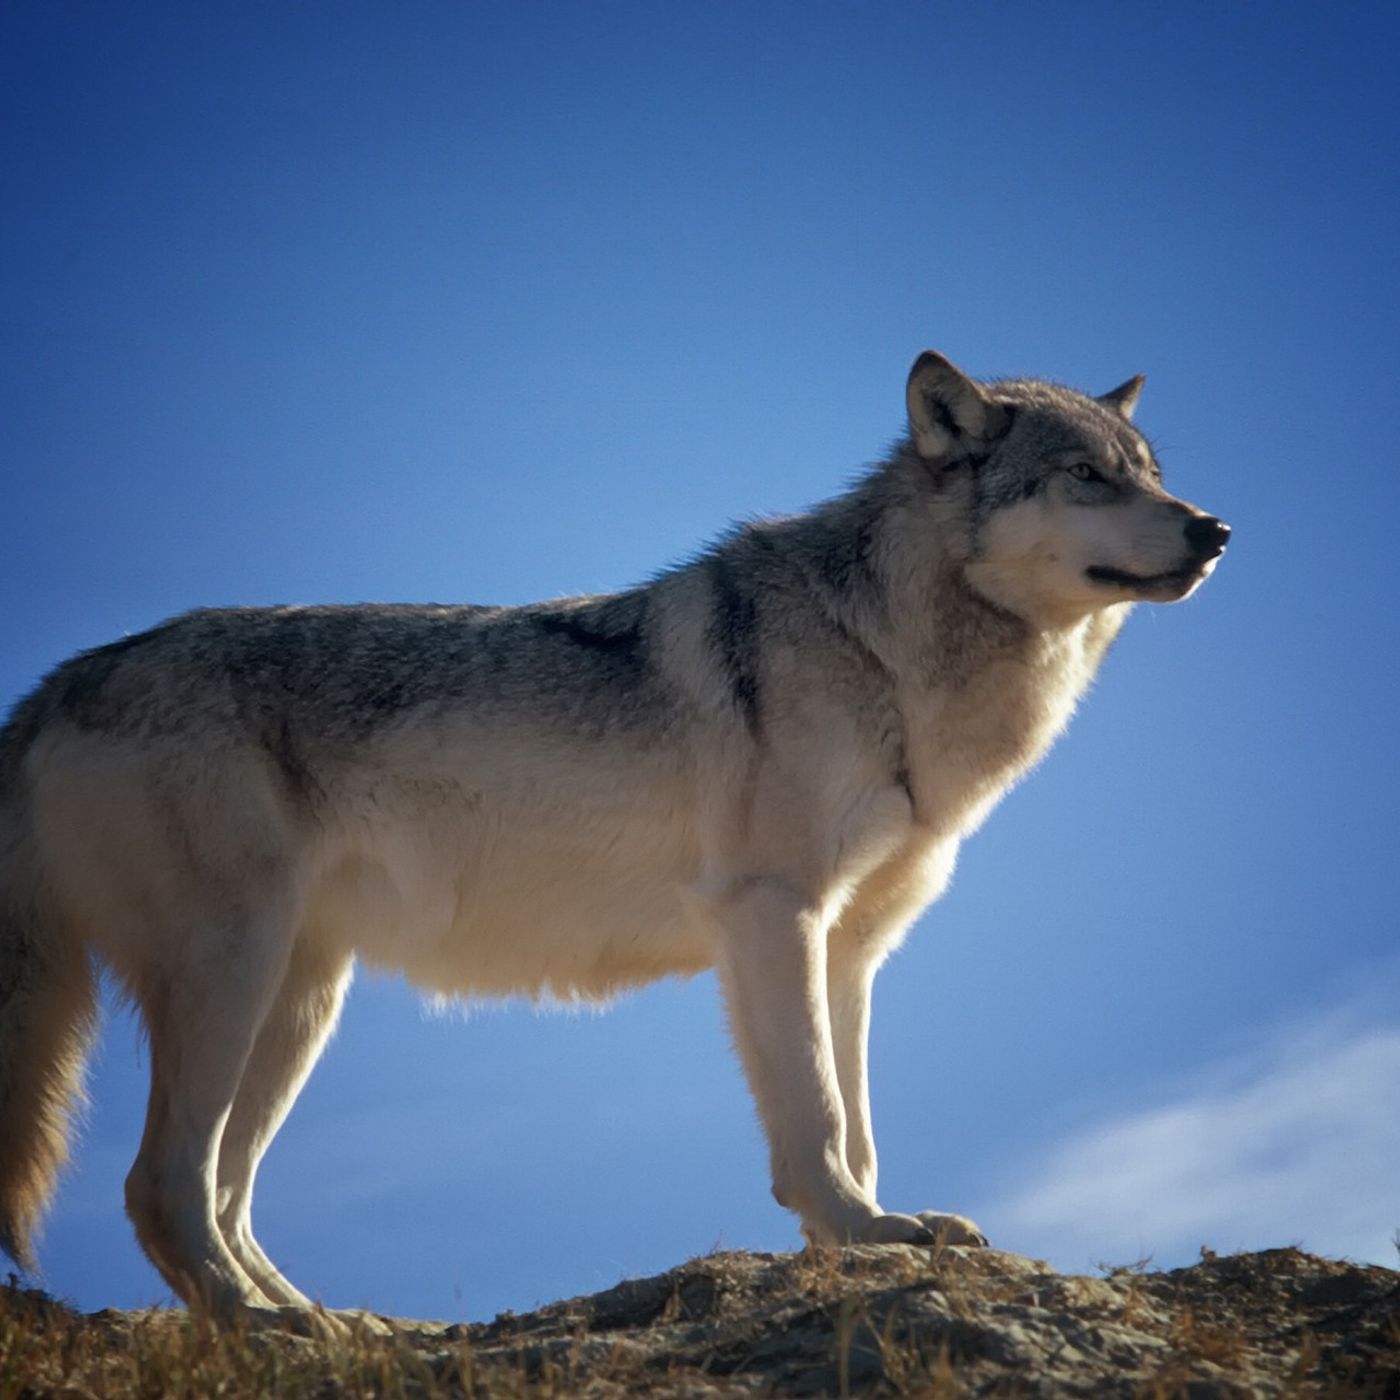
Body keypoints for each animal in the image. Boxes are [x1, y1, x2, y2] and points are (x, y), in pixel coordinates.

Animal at [0, 350, 1228, 1328]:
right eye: (1087, 477)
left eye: (1148, 469)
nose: (1214, 528)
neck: (882, 651)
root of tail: (56, 685)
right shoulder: (771, 915)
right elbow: (819, 1115)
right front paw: (861, 1233)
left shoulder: (851, 948)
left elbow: (861, 1122)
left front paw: (868, 1233)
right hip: (235, 974)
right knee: (161, 1185)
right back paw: (267, 1329)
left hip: (301, 1003)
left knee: (223, 1191)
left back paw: (335, 1324)